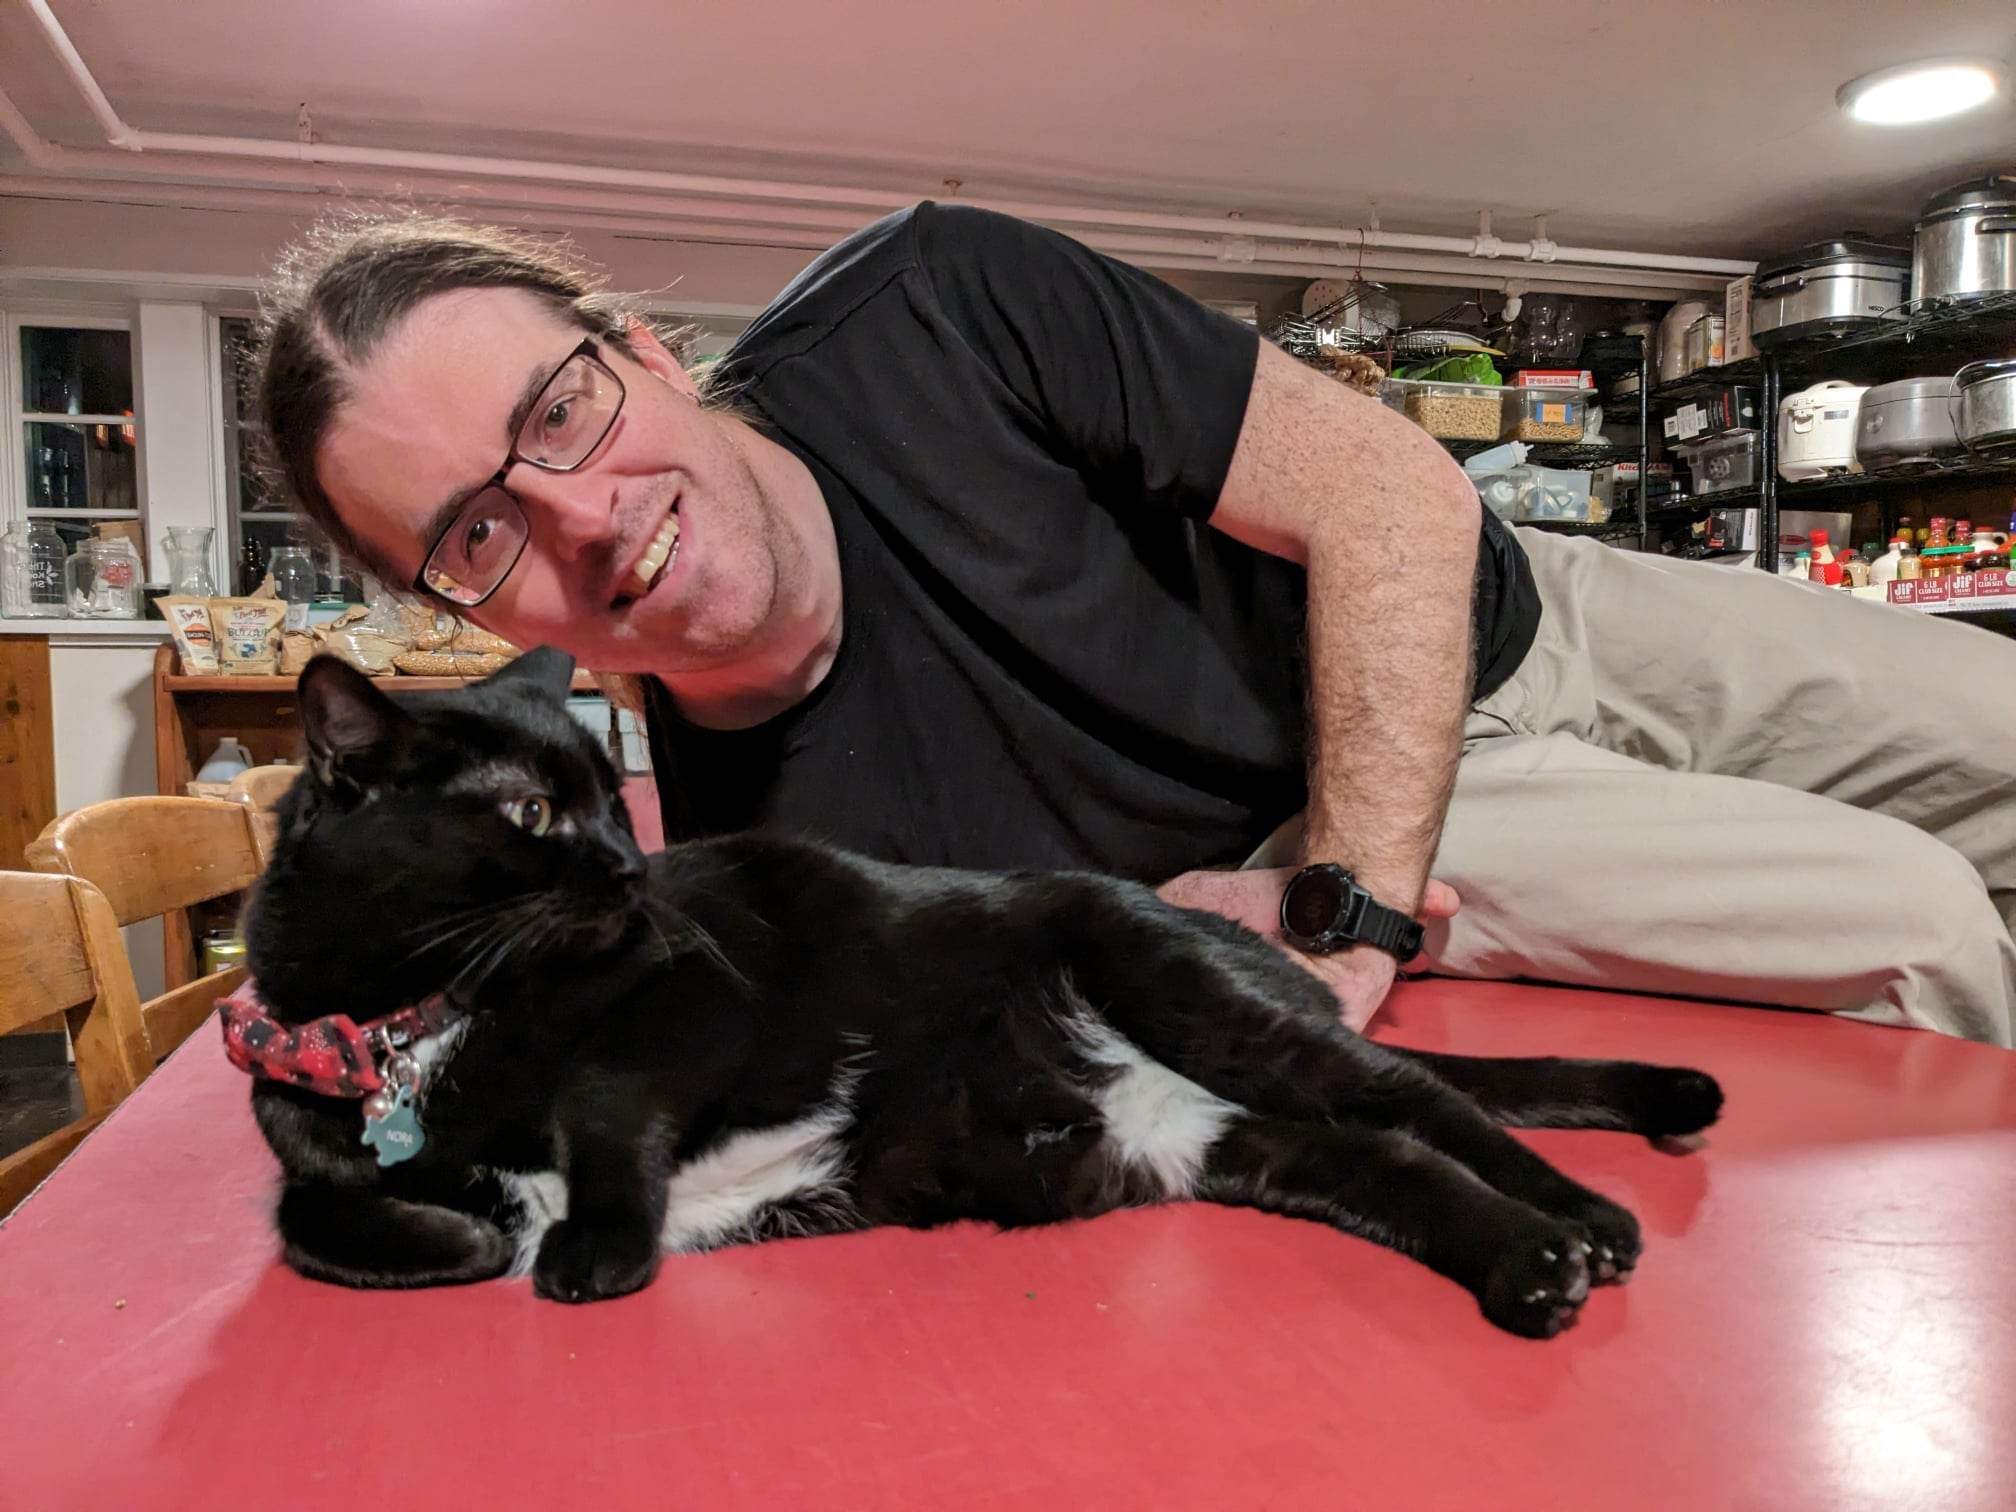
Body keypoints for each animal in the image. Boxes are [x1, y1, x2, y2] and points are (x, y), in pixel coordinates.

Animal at [231, 653, 1717, 1338]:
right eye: (536, 812)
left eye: (607, 797)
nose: (629, 866)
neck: (424, 1023)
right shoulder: (299, 1098)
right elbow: (307, 1209)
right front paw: (448, 1236)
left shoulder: (692, 987)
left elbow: (605, 1098)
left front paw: (585, 1244)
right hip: (1206, 1135)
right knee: (1386, 1156)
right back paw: (1530, 1263)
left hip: (1174, 984)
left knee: (1412, 1094)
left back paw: (1589, 1221)